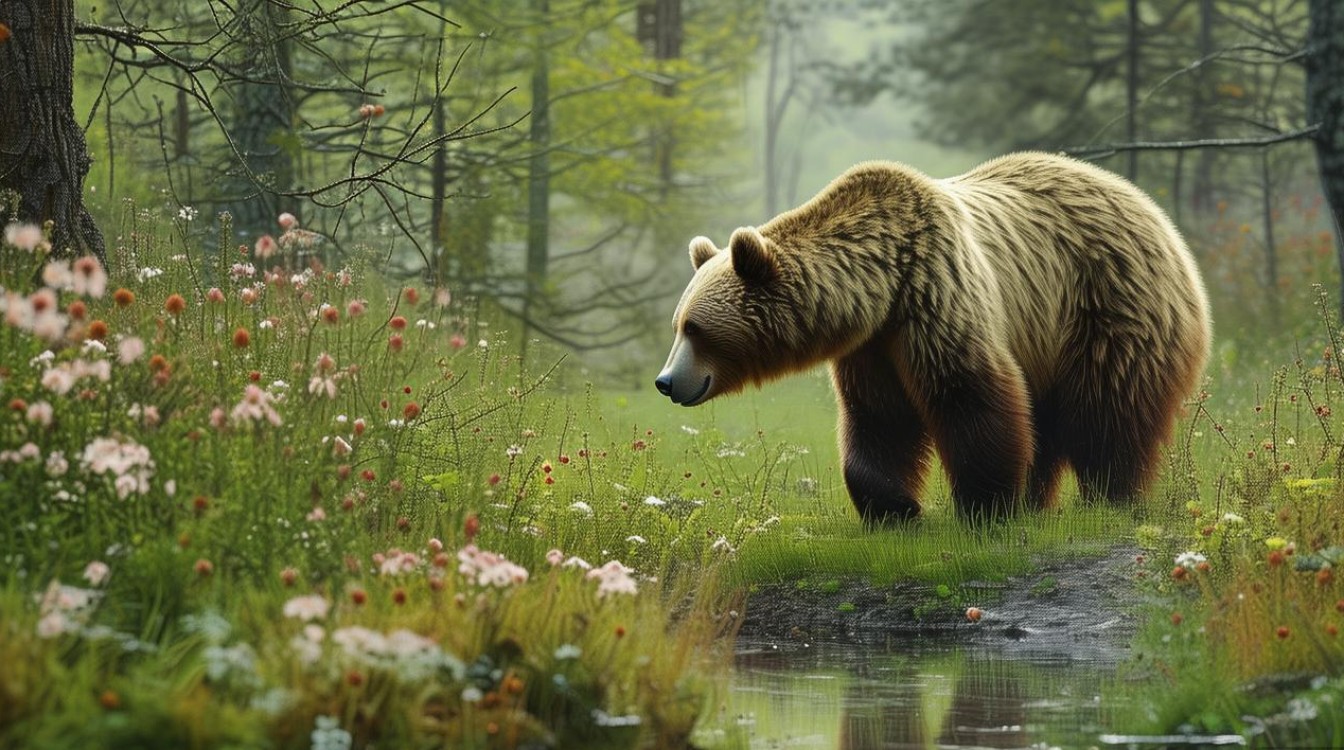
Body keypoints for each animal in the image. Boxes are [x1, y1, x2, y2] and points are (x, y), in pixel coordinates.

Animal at [655, 152, 1211, 522]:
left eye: (696, 328)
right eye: (678, 324)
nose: (665, 382)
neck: (882, 284)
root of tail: (1150, 209)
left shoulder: (936, 293)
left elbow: (969, 396)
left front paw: (987, 505)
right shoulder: (873, 346)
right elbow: (879, 419)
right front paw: (894, 508)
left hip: (1107, 304)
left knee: (1108, 410)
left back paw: (1112, 495)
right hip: (1047, 340)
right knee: (1050, 421)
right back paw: (1042, 498)